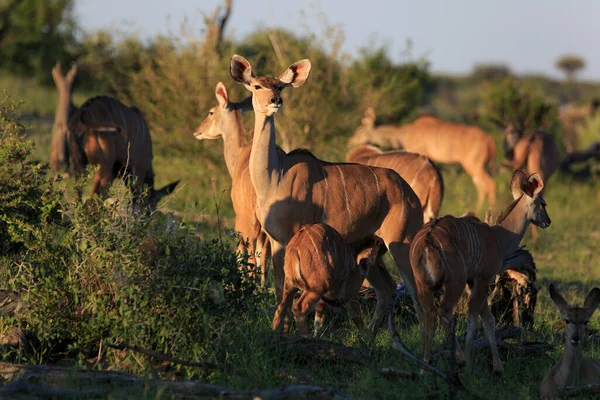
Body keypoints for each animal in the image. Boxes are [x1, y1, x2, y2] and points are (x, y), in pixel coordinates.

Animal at [230, 54, 422, 334]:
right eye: (256, 86)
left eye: (280, 86)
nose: (275, 101)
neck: (274, 176)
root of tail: (411, 195)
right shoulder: (276, 242)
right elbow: (280, 289)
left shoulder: (289, 239)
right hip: (375, 249)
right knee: (387, 289)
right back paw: (370, 335)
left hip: (401, 241)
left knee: (416, 289)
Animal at [350, 106, 494, 212]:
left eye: (359, 130)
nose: (350, 141)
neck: (405, 133)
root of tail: (489, 139)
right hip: (483, 165)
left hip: (473, 164)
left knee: (488, 184)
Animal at [410, 170, 552, 376]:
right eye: (543, 203)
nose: (548, 221)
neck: (498, 236)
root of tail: (427, 242)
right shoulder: (483, 279)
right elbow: (475, 320)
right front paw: (475, 364)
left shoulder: (474, 283)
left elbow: (488, 319)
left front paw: (496, 365)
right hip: (455, 282)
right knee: (443, 312)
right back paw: (459, 358)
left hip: (423, 284)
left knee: (428, 314)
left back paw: (424, 367)